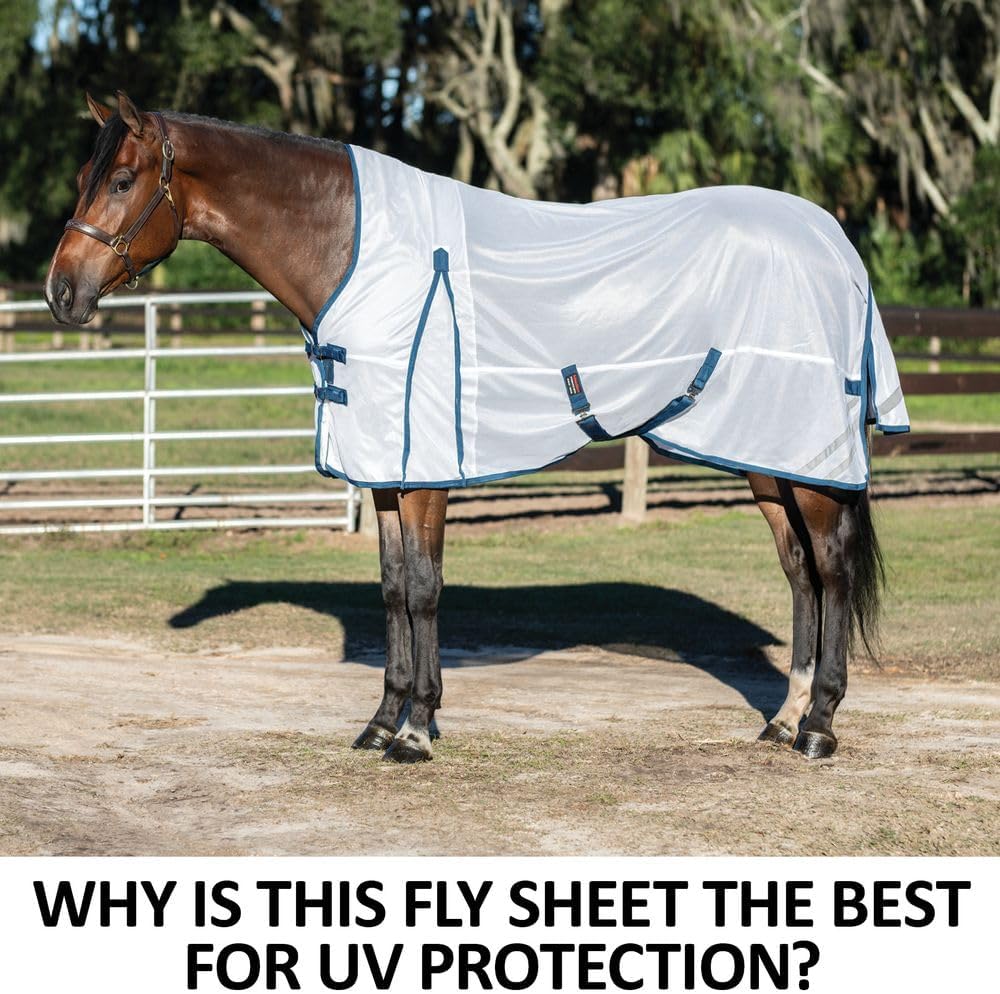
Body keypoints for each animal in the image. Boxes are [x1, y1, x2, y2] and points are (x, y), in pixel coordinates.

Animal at [46, 91, 901, 764]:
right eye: (87, 178)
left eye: (120, 179)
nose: (60, 293)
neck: (355, 252)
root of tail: (835, 244)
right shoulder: (385, 472)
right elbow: (392, 588)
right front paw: (382, 721)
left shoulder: (425, 473)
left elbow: (425, 590)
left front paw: (415, 731)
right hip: (766, 456)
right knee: (798, 572)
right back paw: (783, 720)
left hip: (802, 462)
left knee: (830, 569)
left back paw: (819, 728)